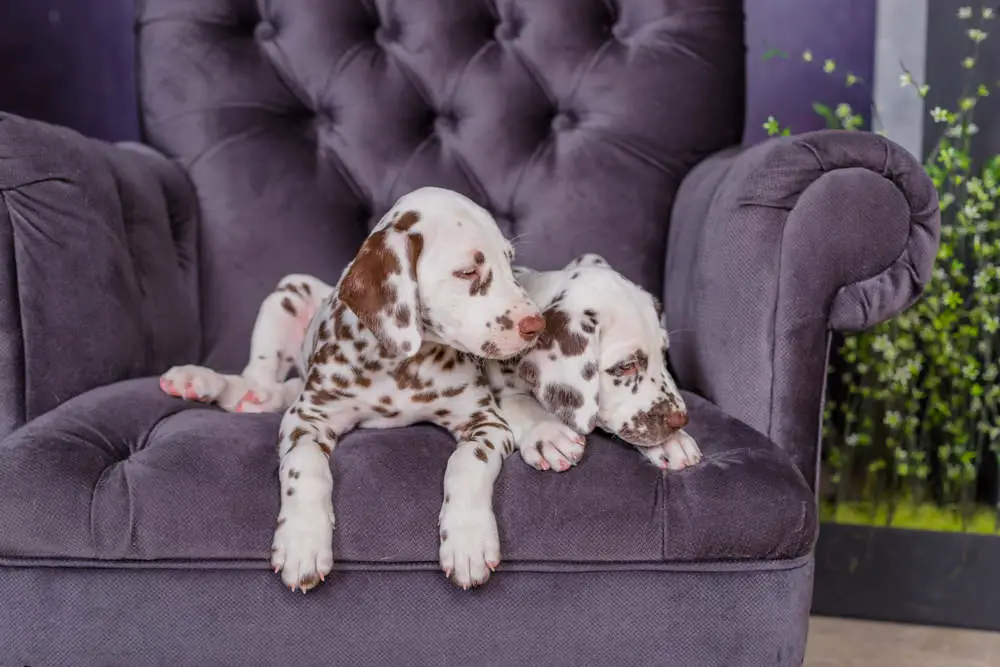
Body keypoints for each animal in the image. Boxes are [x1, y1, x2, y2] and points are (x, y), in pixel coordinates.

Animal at [486, 253, 704, 472]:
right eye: (626, 366)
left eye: (663, 353)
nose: (681, 421)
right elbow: (516, 401)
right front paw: (548, 433)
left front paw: (674, 441)